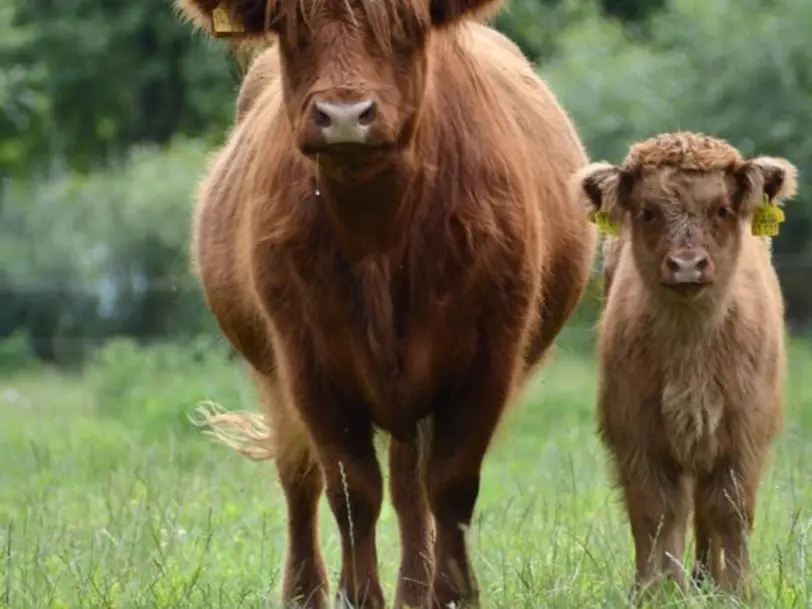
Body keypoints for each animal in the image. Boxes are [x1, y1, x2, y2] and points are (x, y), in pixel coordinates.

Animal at [176, 1, 596, 608]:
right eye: (292, 29)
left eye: (405, 27)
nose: (344, 114)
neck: (378, 227)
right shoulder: (307, 364)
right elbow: (351, 490)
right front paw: (358, 596)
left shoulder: (489, 357)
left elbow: (450, 485)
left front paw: (452, 595)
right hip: (274, 374)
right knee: (300, 478)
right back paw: (304, 592)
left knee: (409, 484)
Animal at [576, 132, 796, 600]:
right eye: (647, 211)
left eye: (722, 209)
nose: (688, 265)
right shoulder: (637, 435)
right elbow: (655, 513)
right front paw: (656, 591)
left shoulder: (743, 433)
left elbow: (731, 510)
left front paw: (738, 591)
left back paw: (708, 579)